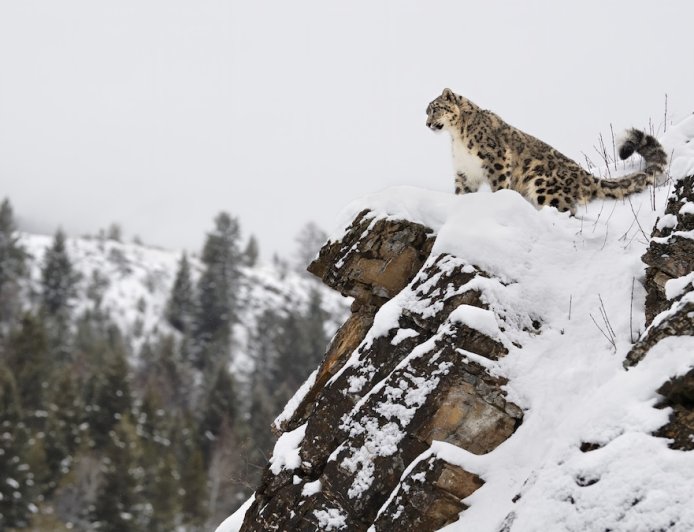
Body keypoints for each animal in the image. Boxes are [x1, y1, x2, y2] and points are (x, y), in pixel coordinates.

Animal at [426, 88, 667, 214]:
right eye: (426, 111)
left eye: (435, 109)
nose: (427, 124)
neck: (456, 137)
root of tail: (586, 176)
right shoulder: (464, 171)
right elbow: (462, 192)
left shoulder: (496, 161)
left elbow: (499, 185)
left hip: (543, 184)